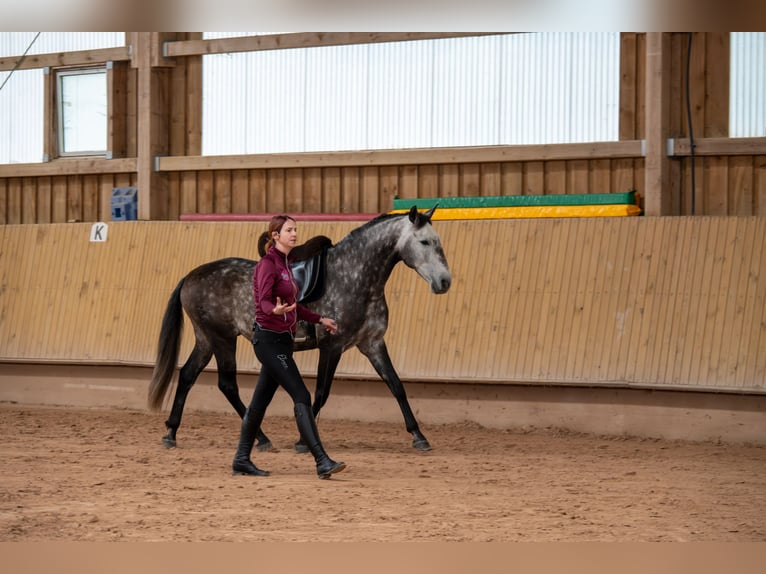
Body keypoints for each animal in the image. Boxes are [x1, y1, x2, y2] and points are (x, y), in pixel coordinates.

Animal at [147, 207, 452, 454]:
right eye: (424, 241)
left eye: (437, 241)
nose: (444, 282)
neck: (354, 278)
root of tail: (190, 276)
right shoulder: (332, 345)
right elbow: (322, 392)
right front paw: (303, 441)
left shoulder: (372, 343)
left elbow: (396, 386)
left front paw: (419, 436)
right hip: (222, 339)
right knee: (227, 384)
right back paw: (261, 438)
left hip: (206, 339)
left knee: (187, 375)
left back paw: (172, 432)